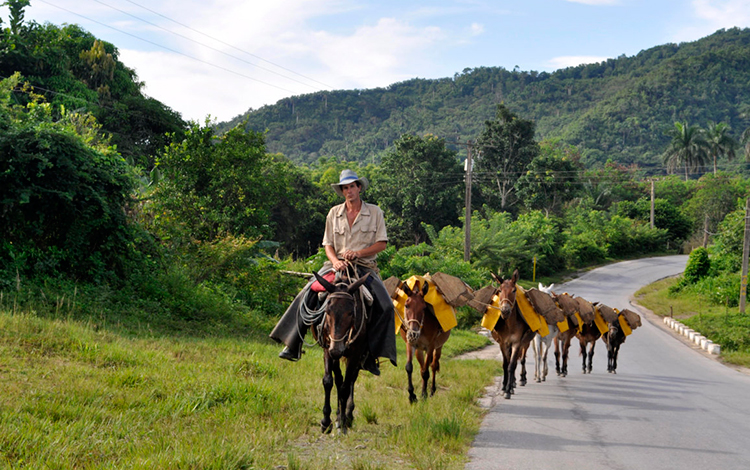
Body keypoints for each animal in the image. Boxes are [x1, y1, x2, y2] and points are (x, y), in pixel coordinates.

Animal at [312, 272, 370, 434]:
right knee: (339, 379)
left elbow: (345, 386)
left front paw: (343, 422)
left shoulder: (355, 354)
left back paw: (347, 415)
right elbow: (328, 381)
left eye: (351, 313)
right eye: (327, 311)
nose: (337, 350)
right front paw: (326, 421)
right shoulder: (327, 348)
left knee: (351, 380)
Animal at [490, 270, 536, 398]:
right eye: (499, 290)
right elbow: (505, 365)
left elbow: (512, 365)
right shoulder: (503, 343)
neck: (510, 324)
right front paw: (504, 387)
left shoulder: (517, 343)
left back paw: (521, 379)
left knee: (521, 360)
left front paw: (508, 390)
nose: (505, 311)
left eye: (514, 290)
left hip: (525, 343)